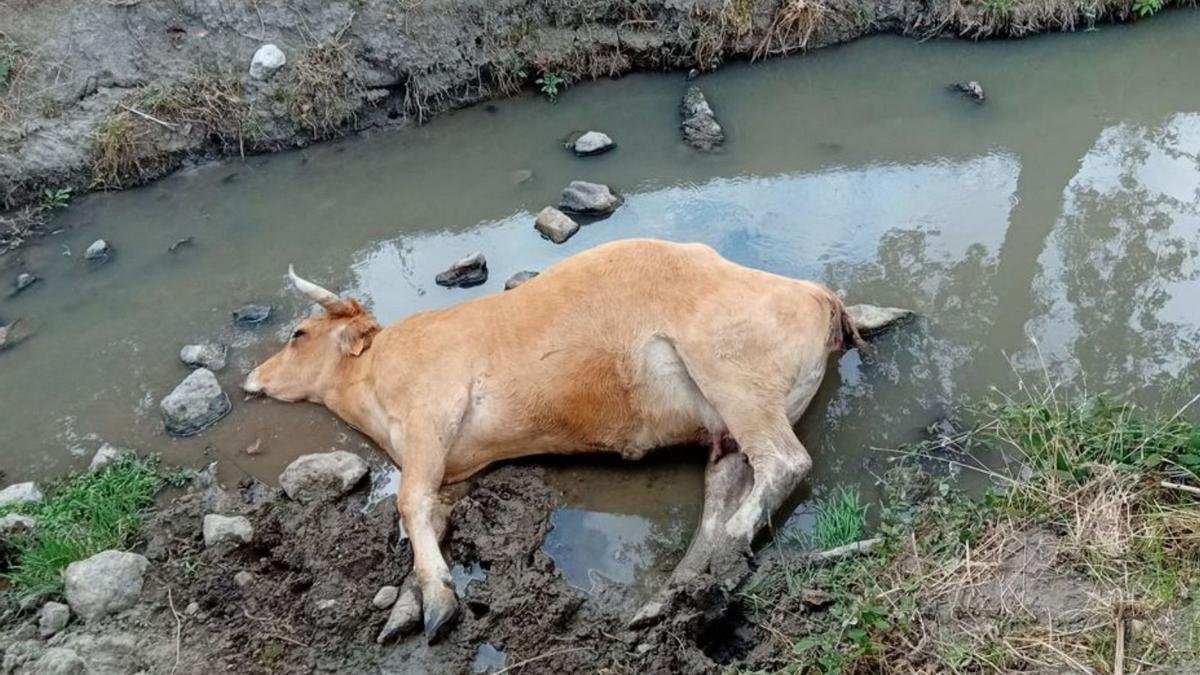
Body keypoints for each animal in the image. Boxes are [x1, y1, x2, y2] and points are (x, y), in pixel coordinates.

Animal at [243, 238, 904, 643]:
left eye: (299, 333)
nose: (252, 378)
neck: (374, 382)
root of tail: (816, 293)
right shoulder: (451, 470)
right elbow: (423, 514)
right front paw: (412, 604)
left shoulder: (434, 412)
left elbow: (406, 503)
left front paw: (436, 600)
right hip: (724, 430)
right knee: (724, 494)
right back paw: (676, 593)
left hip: (736, 383)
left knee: (785, 464)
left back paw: (718, 560)